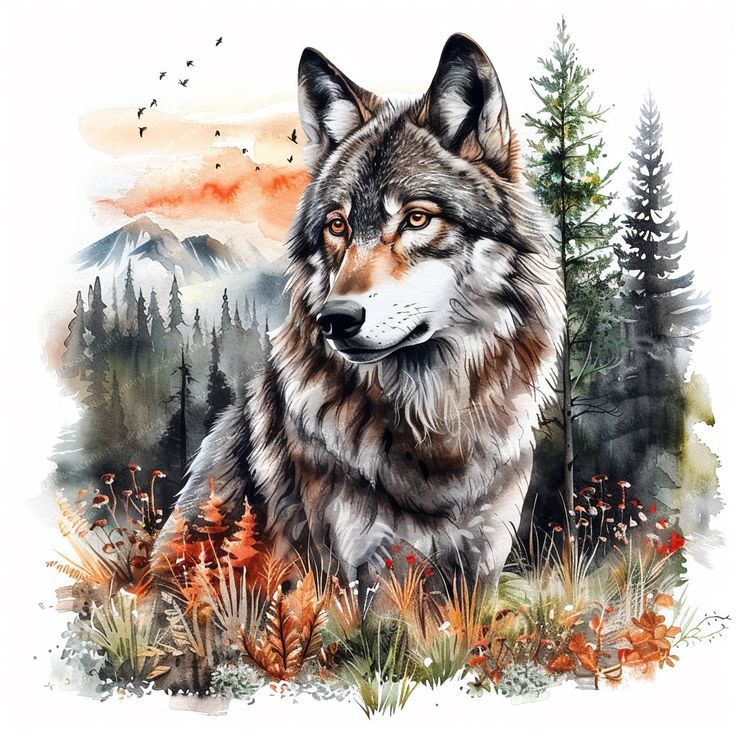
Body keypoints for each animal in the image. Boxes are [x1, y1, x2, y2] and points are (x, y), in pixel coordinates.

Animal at [155, 34, 565, 592]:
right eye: (338, 226)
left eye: (417, 219)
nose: (335, 320)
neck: (431, 425)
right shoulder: (353, 572)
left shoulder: (480, 567)